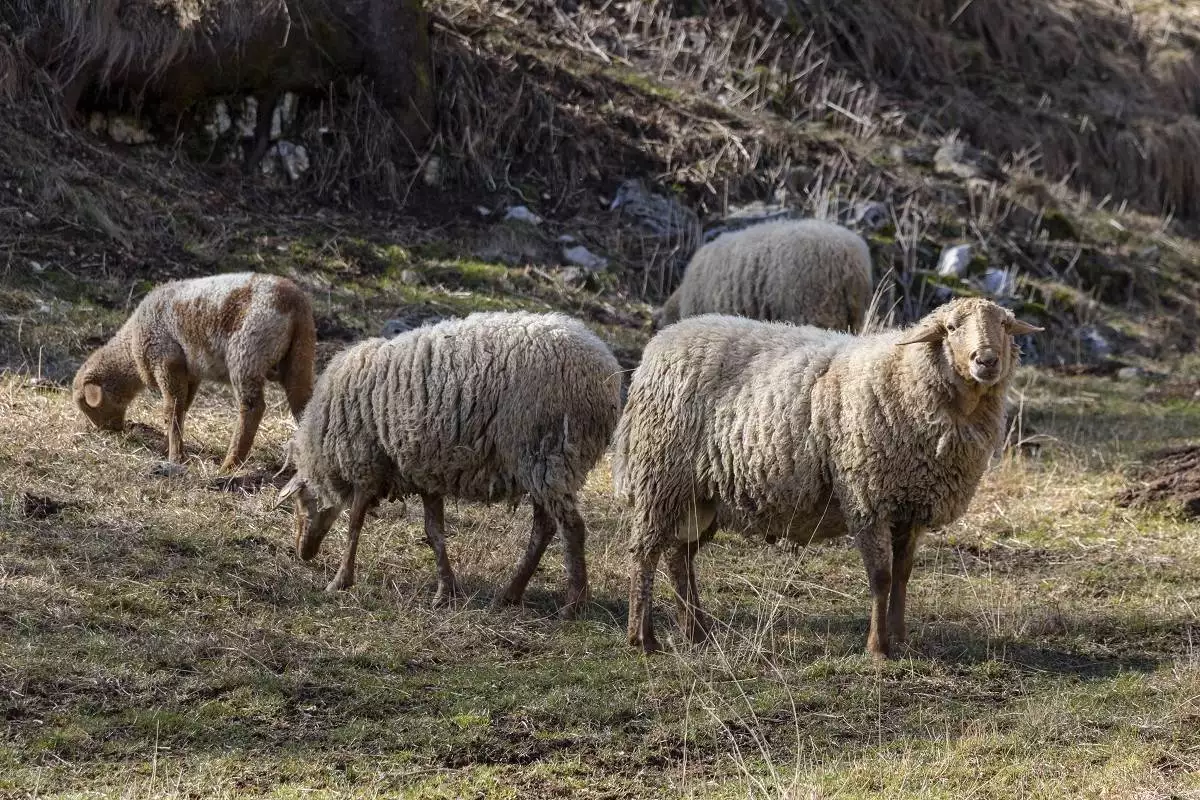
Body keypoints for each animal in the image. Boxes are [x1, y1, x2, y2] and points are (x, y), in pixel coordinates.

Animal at [69, 272, 314, 472]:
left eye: (87, 406)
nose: (107, 431)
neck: (131, 348)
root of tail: (295, 302)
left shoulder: (166, 360)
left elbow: (172, 409)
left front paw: (176, 457)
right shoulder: (191, 372)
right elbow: (183, 407)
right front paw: (169, 446)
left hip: (247, 352)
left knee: (252, 407)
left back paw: (230, 465)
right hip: (300, 356)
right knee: (303, 403)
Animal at [274, 309, 624, 618]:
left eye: (300, 504)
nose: (302, 554)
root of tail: (606, 370)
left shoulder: (366, 462)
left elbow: (354, 525)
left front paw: (340, 581)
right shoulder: (425, 471)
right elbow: (434, 532)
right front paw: (446, 592)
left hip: (548, 453)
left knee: (572, 527)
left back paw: (573, 605)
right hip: (543, 463)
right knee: (545, 527)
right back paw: (510, 594)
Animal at [609, 297, 1041, 662]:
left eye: (1004, 324)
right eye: (951, 328)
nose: (987, 360)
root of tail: (662, 341)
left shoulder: (912, 505)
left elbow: (902, 576)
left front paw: (901, 638)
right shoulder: (867, 497)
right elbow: (881, 577)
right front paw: (878, 648)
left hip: (702, 495)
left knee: (679, 558)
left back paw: (697, 633)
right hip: (660, 476)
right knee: (644, 554)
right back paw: (643, 638)